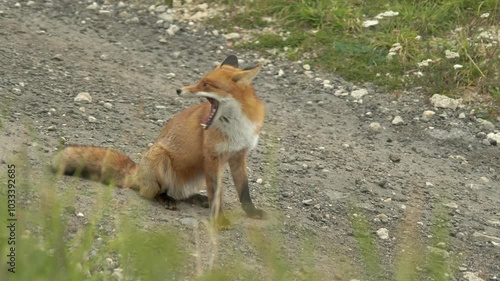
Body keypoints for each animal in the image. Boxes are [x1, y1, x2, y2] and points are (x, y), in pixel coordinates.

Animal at [51, 55, 266, 225]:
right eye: (200, 81)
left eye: (206, 84)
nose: (178, 90)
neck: (237, 126)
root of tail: (137, 174)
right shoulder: (212, 156)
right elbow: (216, 194)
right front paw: (219, 220)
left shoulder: (239, 155)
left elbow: (244, 190)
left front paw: (251, 212)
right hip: (161, 158)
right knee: (153, 193)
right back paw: (166, 199)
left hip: (196, 175)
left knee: (182, 195)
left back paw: (195, 198)